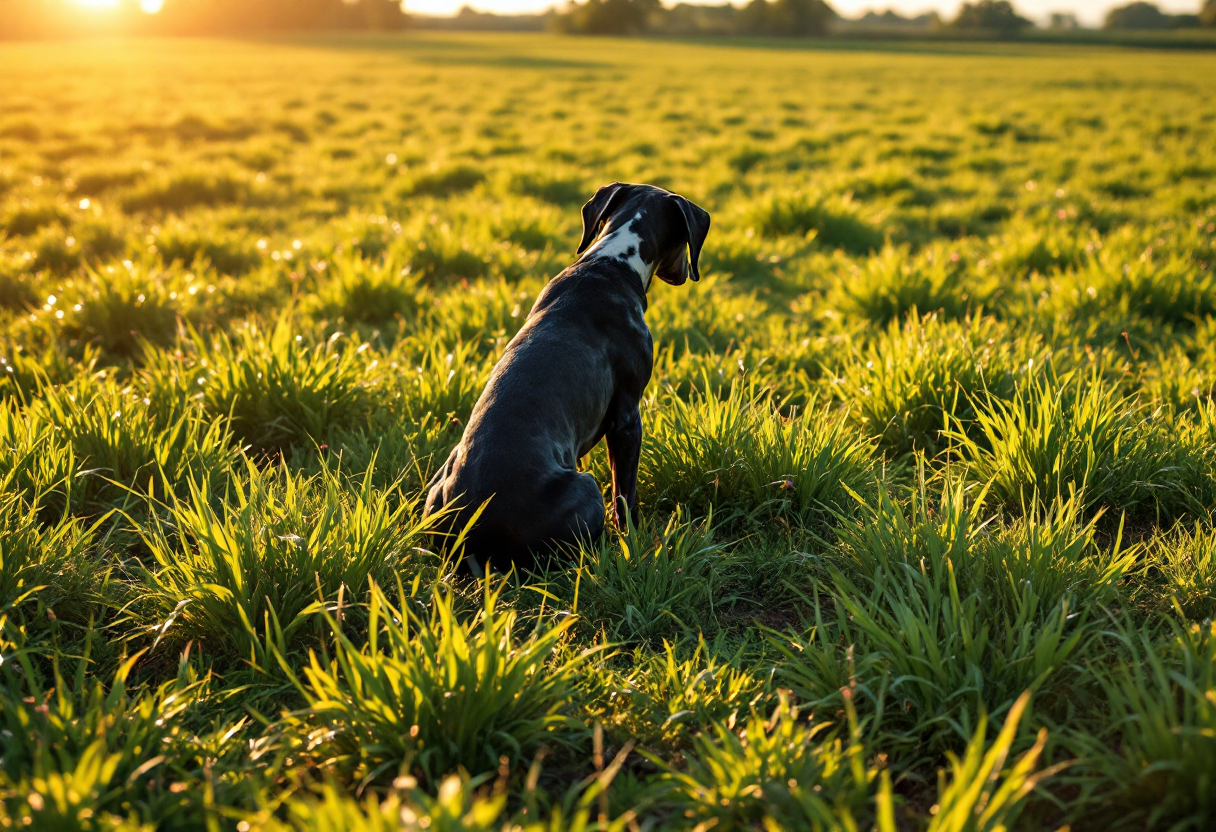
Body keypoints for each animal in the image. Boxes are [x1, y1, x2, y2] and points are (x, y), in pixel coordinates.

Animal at [425, 181, 710, 571]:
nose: (684, 273)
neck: (612, 262)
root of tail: (471, 541)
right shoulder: (627, 418)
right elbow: (625, 494)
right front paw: (636, 541)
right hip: (585, 487)